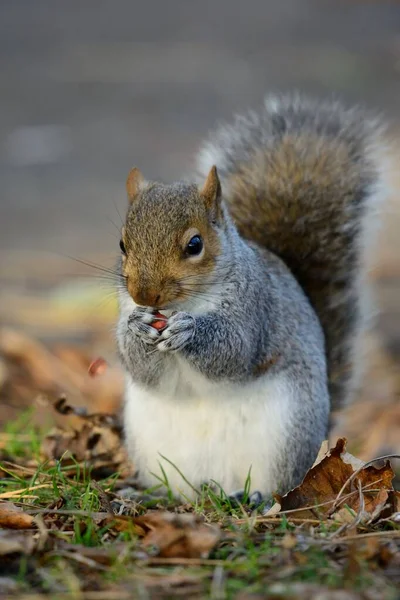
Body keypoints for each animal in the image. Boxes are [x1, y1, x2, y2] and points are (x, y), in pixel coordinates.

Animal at [115, 95, 388, 502]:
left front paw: (190, 332)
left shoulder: (255, 308)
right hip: (152, 448)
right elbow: (141, 367)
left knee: (275, 487)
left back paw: (256, 498)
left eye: (194, 245)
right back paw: (150, 496)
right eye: (122, 244)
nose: (143, 294)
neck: (186, 303)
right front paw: (137, 328)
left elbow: (235, 351)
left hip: (284, 438)